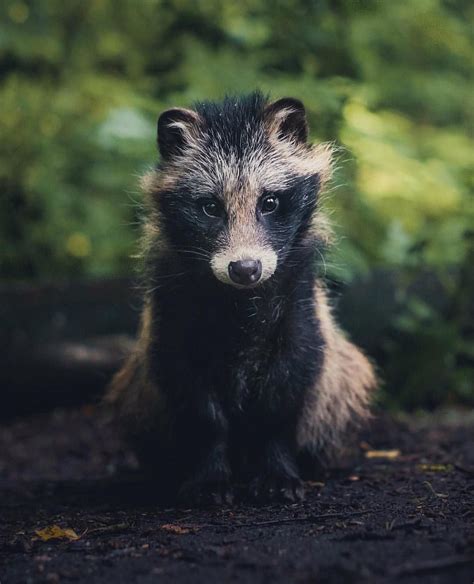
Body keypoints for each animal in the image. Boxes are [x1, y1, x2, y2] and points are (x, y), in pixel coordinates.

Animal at [105, 93, 376, 504]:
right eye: (210, 207)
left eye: (270, 202)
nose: (245, 269)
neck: (241, 301)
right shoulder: (173, 314)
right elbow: (197, 401)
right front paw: (210, 471)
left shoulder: (300, 309)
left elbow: (288, 385)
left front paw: (277, 466)